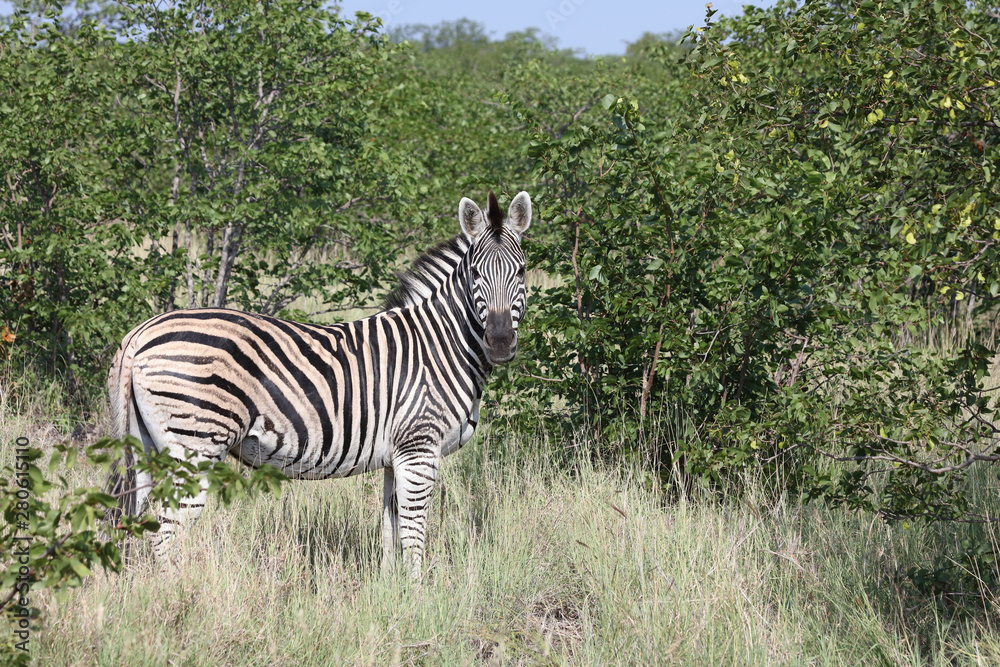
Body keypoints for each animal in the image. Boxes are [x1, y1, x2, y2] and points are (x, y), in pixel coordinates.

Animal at [106, 190, 532, 578]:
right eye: (475, 274)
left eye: (522, 271)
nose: (499, 343)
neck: (441, 343)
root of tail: (139, 335)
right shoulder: (419, 447)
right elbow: (413, 533)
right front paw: (419, 595)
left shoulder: (396, 455)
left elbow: (389, 530)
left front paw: (391, 594)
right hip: (196, 447)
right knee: (166, 536)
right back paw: (182, 597)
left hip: (146, 449)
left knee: (136, 522)